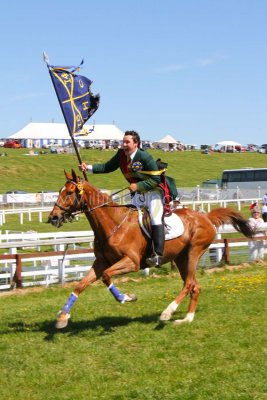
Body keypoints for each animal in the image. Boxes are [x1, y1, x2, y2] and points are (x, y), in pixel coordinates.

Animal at [49, 169, 254, 328]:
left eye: (69, 193)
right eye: (59, 191)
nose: (53, 217)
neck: (113, 224)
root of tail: (205, 217)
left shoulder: (130, 262)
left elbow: (107, 277)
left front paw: (126, 297)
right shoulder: (101, 262)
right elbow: (81, 284)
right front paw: (63, 316)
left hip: (194, 252)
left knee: (189, 284)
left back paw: (167, 312)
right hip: (181, 258)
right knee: (194, 286)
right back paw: (187, 319)